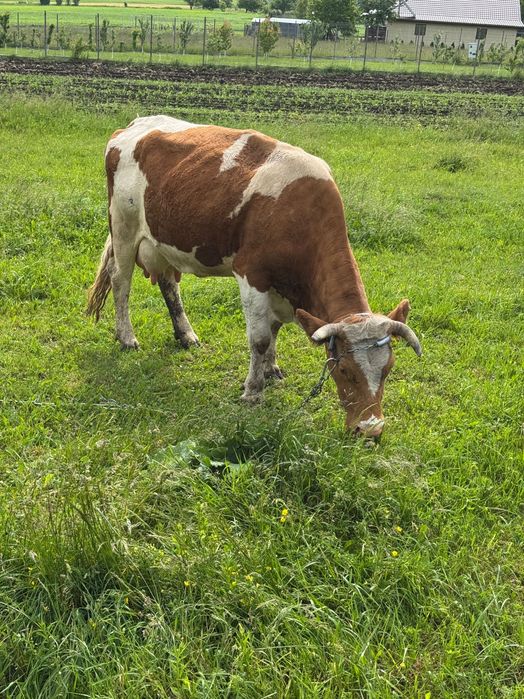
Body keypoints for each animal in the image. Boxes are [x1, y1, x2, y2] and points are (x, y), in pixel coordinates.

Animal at [87, 115, 422, 438]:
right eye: (344, 371)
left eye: (387, 369)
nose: (371, 430)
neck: (299, 213)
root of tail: (133, 125)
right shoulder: (252, 275)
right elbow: (259, 339)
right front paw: (252, 391)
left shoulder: (280, 289)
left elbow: (274, 329)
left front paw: (271, 370)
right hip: (124, 228)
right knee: (121, 282)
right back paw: (127, 337)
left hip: (164, 240)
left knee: (169, 284)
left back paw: (186, 335)